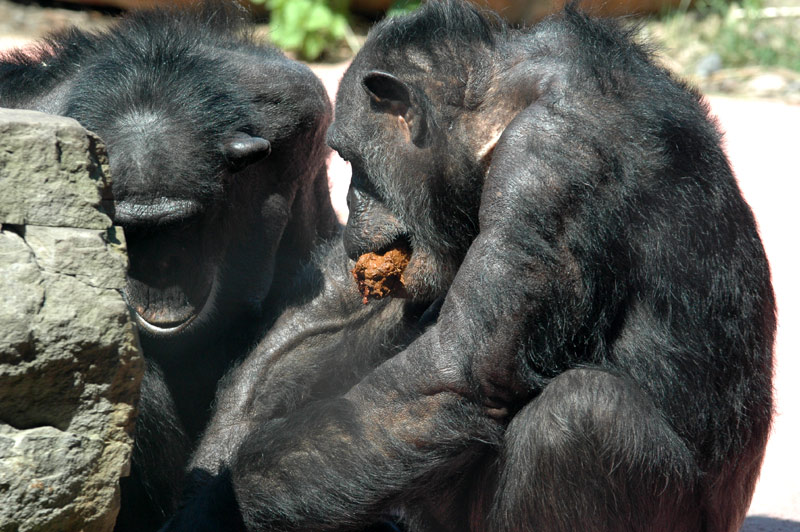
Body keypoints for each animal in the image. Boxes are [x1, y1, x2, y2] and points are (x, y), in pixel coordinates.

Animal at [164, 1, 776, 532]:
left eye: (350, 158)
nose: (354, 200)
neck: (506, 108)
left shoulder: (548, 168)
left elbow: (453, 376)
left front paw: (221, 508)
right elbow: (330, 315)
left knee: (581, 414)